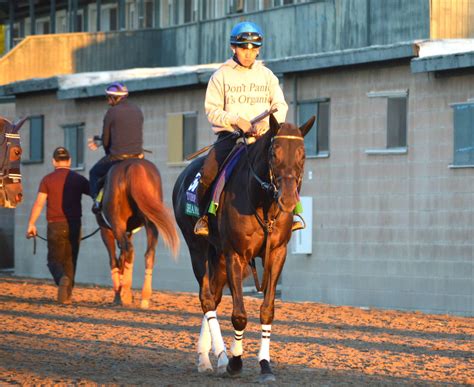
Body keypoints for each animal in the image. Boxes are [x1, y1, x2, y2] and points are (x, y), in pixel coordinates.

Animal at [96, 158, 180, 310]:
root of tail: (133, 166)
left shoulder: (106, 230)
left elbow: (114, 261)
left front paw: (119, 295)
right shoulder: (128, 232)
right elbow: (122, 260)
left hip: (117, 223)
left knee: (128, 250)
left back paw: (125, 292)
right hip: (151, 223)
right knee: (148, 254)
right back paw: (144, 297)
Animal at [173, 114, 314, 382]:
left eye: (302, 154)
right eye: (274, 153)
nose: (288, 199)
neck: (262, 202)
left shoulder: (277, 254)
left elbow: (267, 310)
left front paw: (265, 365)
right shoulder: (235, 255)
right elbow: (239, 315)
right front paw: (235, 361)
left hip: (217, 256)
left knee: (214, 296)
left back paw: (206, 358)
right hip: (197, 249)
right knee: (207, 299)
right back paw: (221, 358)